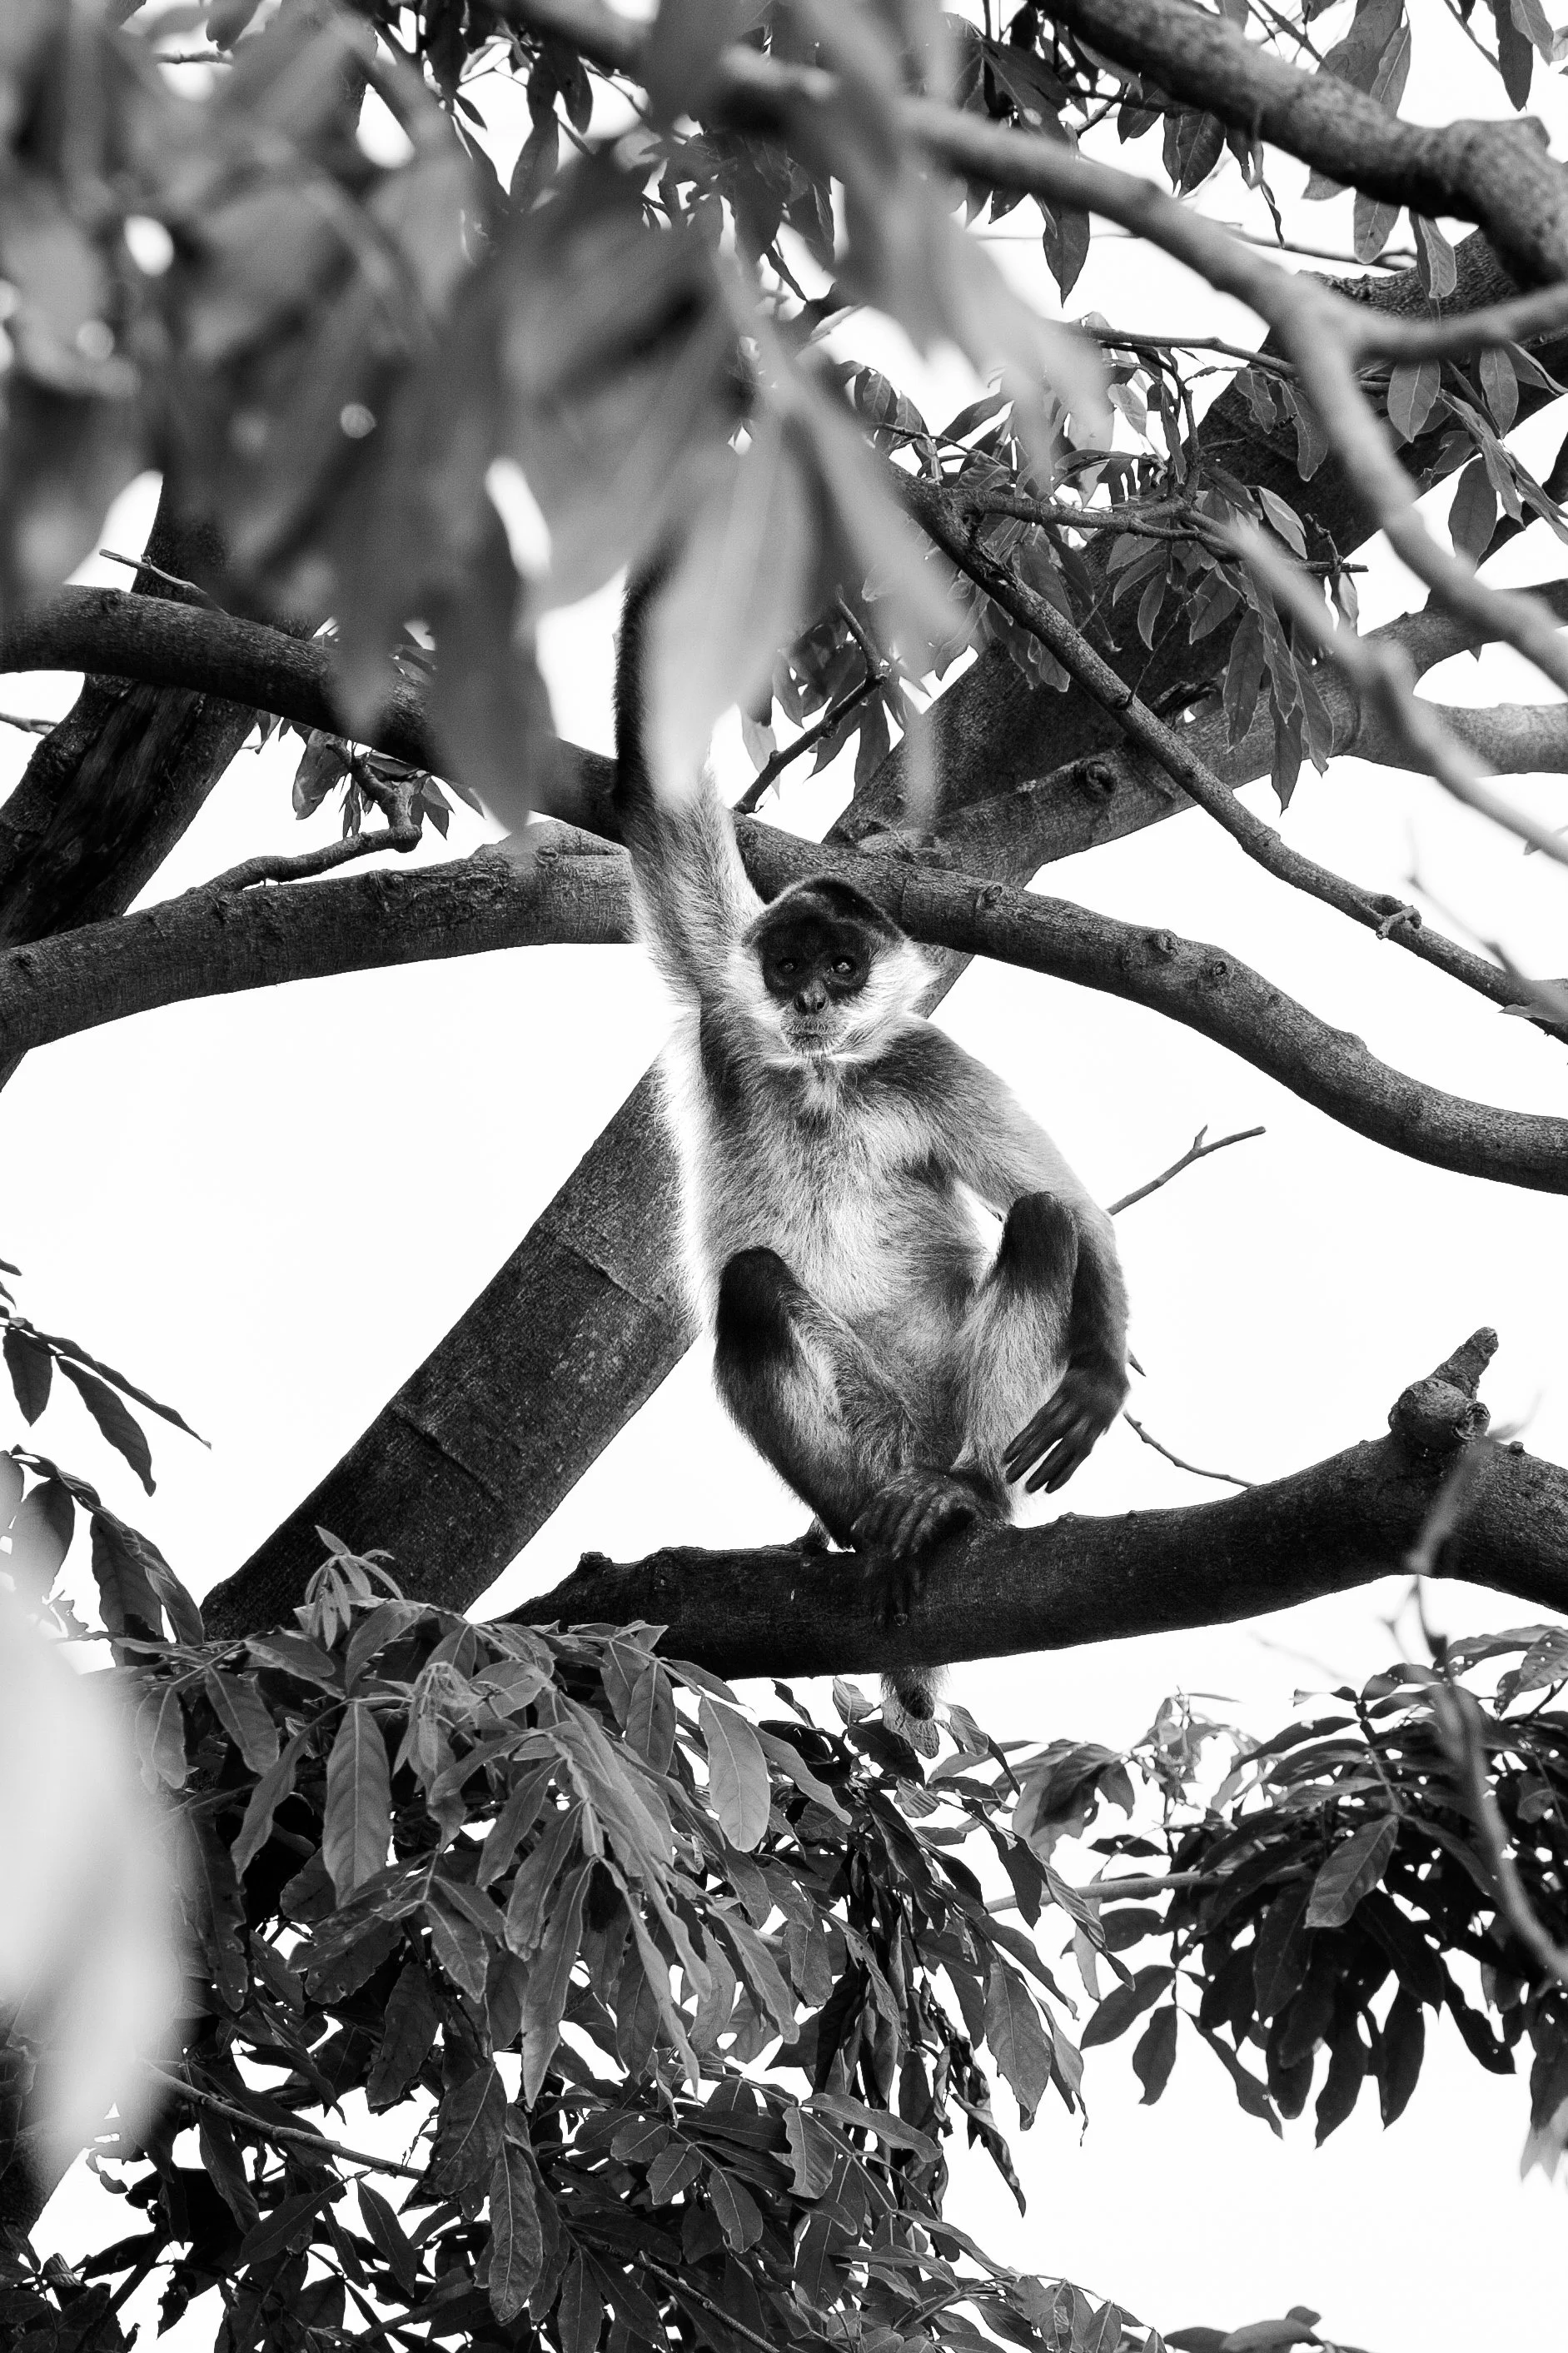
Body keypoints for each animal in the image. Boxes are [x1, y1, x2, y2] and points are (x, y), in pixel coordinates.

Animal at [613, 562, 1129, 1738]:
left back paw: (961, 1506)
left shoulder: (920, 1060)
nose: (808, 998)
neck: (825, 1077)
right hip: (874, 1416)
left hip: (945, 1411)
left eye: (843, 967)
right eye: (792, 961)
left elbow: (1069, 1201)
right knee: (756, 1290)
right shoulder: (728, 1011)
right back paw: (866, 1521)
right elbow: (660, 799)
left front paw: (1103, 1374)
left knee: (1041, 1224)